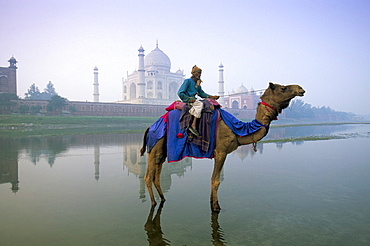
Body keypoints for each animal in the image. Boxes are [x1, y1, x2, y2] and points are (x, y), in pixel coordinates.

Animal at [140, 82, 304, 211]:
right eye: (283, 88)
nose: (300, 88)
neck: (237, 129)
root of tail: (150, 127)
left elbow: (214, 179)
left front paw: (211, 202)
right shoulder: (221, 151)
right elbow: (216, 180)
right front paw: (216, 207)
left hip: (162, 151)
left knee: (156, 175)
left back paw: (163, 199)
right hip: (155, 146)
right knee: (148, 176)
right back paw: (153, 202)